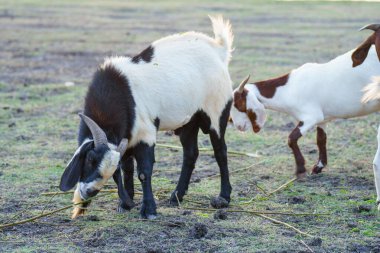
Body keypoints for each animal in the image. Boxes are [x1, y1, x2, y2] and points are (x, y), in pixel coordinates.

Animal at [58, 16, 235, 219]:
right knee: (190, 153)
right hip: (189, 122)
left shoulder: (145, 133)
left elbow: (144, 172)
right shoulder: (128, 136)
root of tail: (218, 49)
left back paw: (223, 197)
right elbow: (127, 168)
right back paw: (176, 196)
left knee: (220, 151)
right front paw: (125, 204)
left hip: (217, 112)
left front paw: (148, 210)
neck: (117, 93)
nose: (90, 192)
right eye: (89, 160)